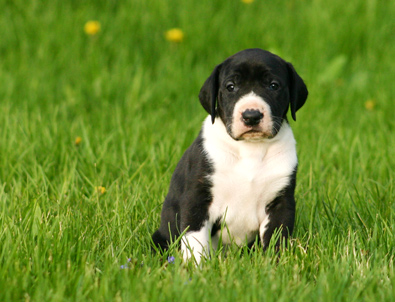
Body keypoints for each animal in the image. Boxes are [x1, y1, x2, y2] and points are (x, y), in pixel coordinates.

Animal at [152, 48, 310, 264]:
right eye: (231, 87)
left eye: (273, 85)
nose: (251, 116)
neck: (250, 150)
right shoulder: (196, 200)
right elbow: (196, 241)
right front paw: (196, 268)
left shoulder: (280, 203)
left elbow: (276, 239)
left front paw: (275, 265)